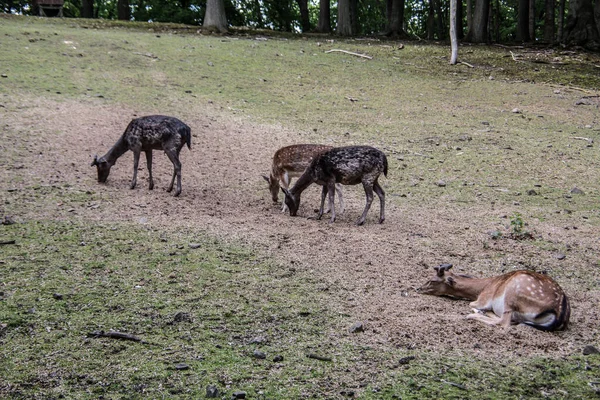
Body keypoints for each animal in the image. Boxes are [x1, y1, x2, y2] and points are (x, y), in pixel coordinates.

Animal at [420, 262, 568, 332]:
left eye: (432, 280)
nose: (418, 288)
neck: (482, 287)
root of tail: (560, 313)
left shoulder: (484, 299)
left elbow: (471, 304)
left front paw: (478, 311)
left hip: (513, 290)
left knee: (504, 322)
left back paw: (474, 315)